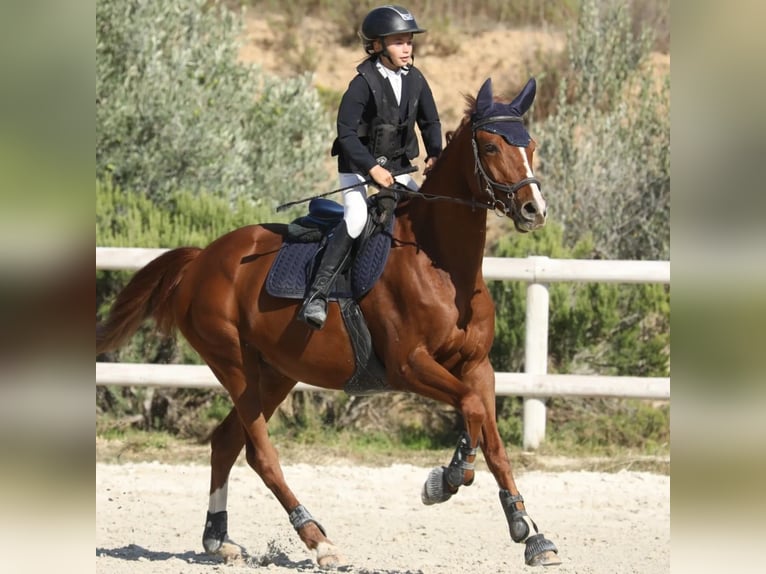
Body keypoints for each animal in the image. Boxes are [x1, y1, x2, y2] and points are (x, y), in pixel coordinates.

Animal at [97, 77, 564, 572]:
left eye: (531, 145)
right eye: (491, 146)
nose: (534, 210)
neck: (443, 265)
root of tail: (202, 258)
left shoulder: (477, 367)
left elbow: (492, 440)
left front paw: (529, 531)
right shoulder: (409, 365)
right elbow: (471, 411)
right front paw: (447, 478)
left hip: (275, 372)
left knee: (225, 442)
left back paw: (218, 539)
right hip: (235, 365)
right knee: (260, 453)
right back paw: (318, 540)